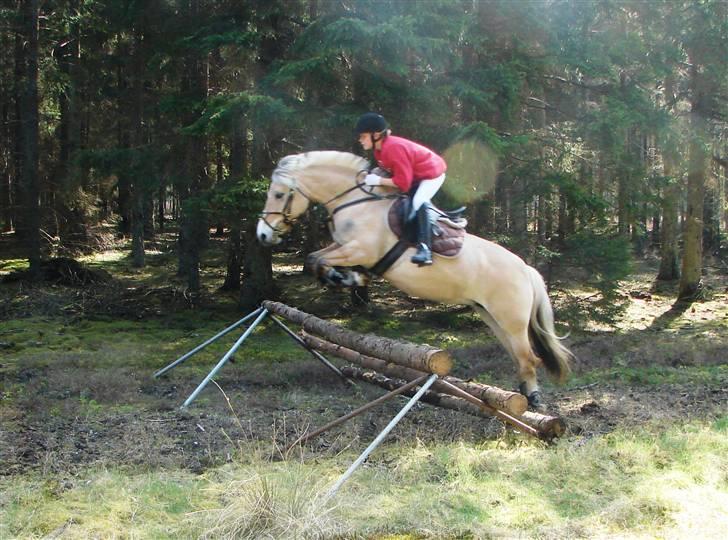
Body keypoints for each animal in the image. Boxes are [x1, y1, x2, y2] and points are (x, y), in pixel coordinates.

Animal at [258, 150, 576, 408]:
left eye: (278, 195)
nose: (262, 235)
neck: (355, 201)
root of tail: (525, 269)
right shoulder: (342, 247)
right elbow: (314, 258)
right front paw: (347, 278)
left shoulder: (360, 249)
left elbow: (321, 260)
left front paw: (347, 278)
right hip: (492, 317)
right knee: (518, 357)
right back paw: (522, 397)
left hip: (511, 319)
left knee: (528, 357)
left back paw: (533, 400)